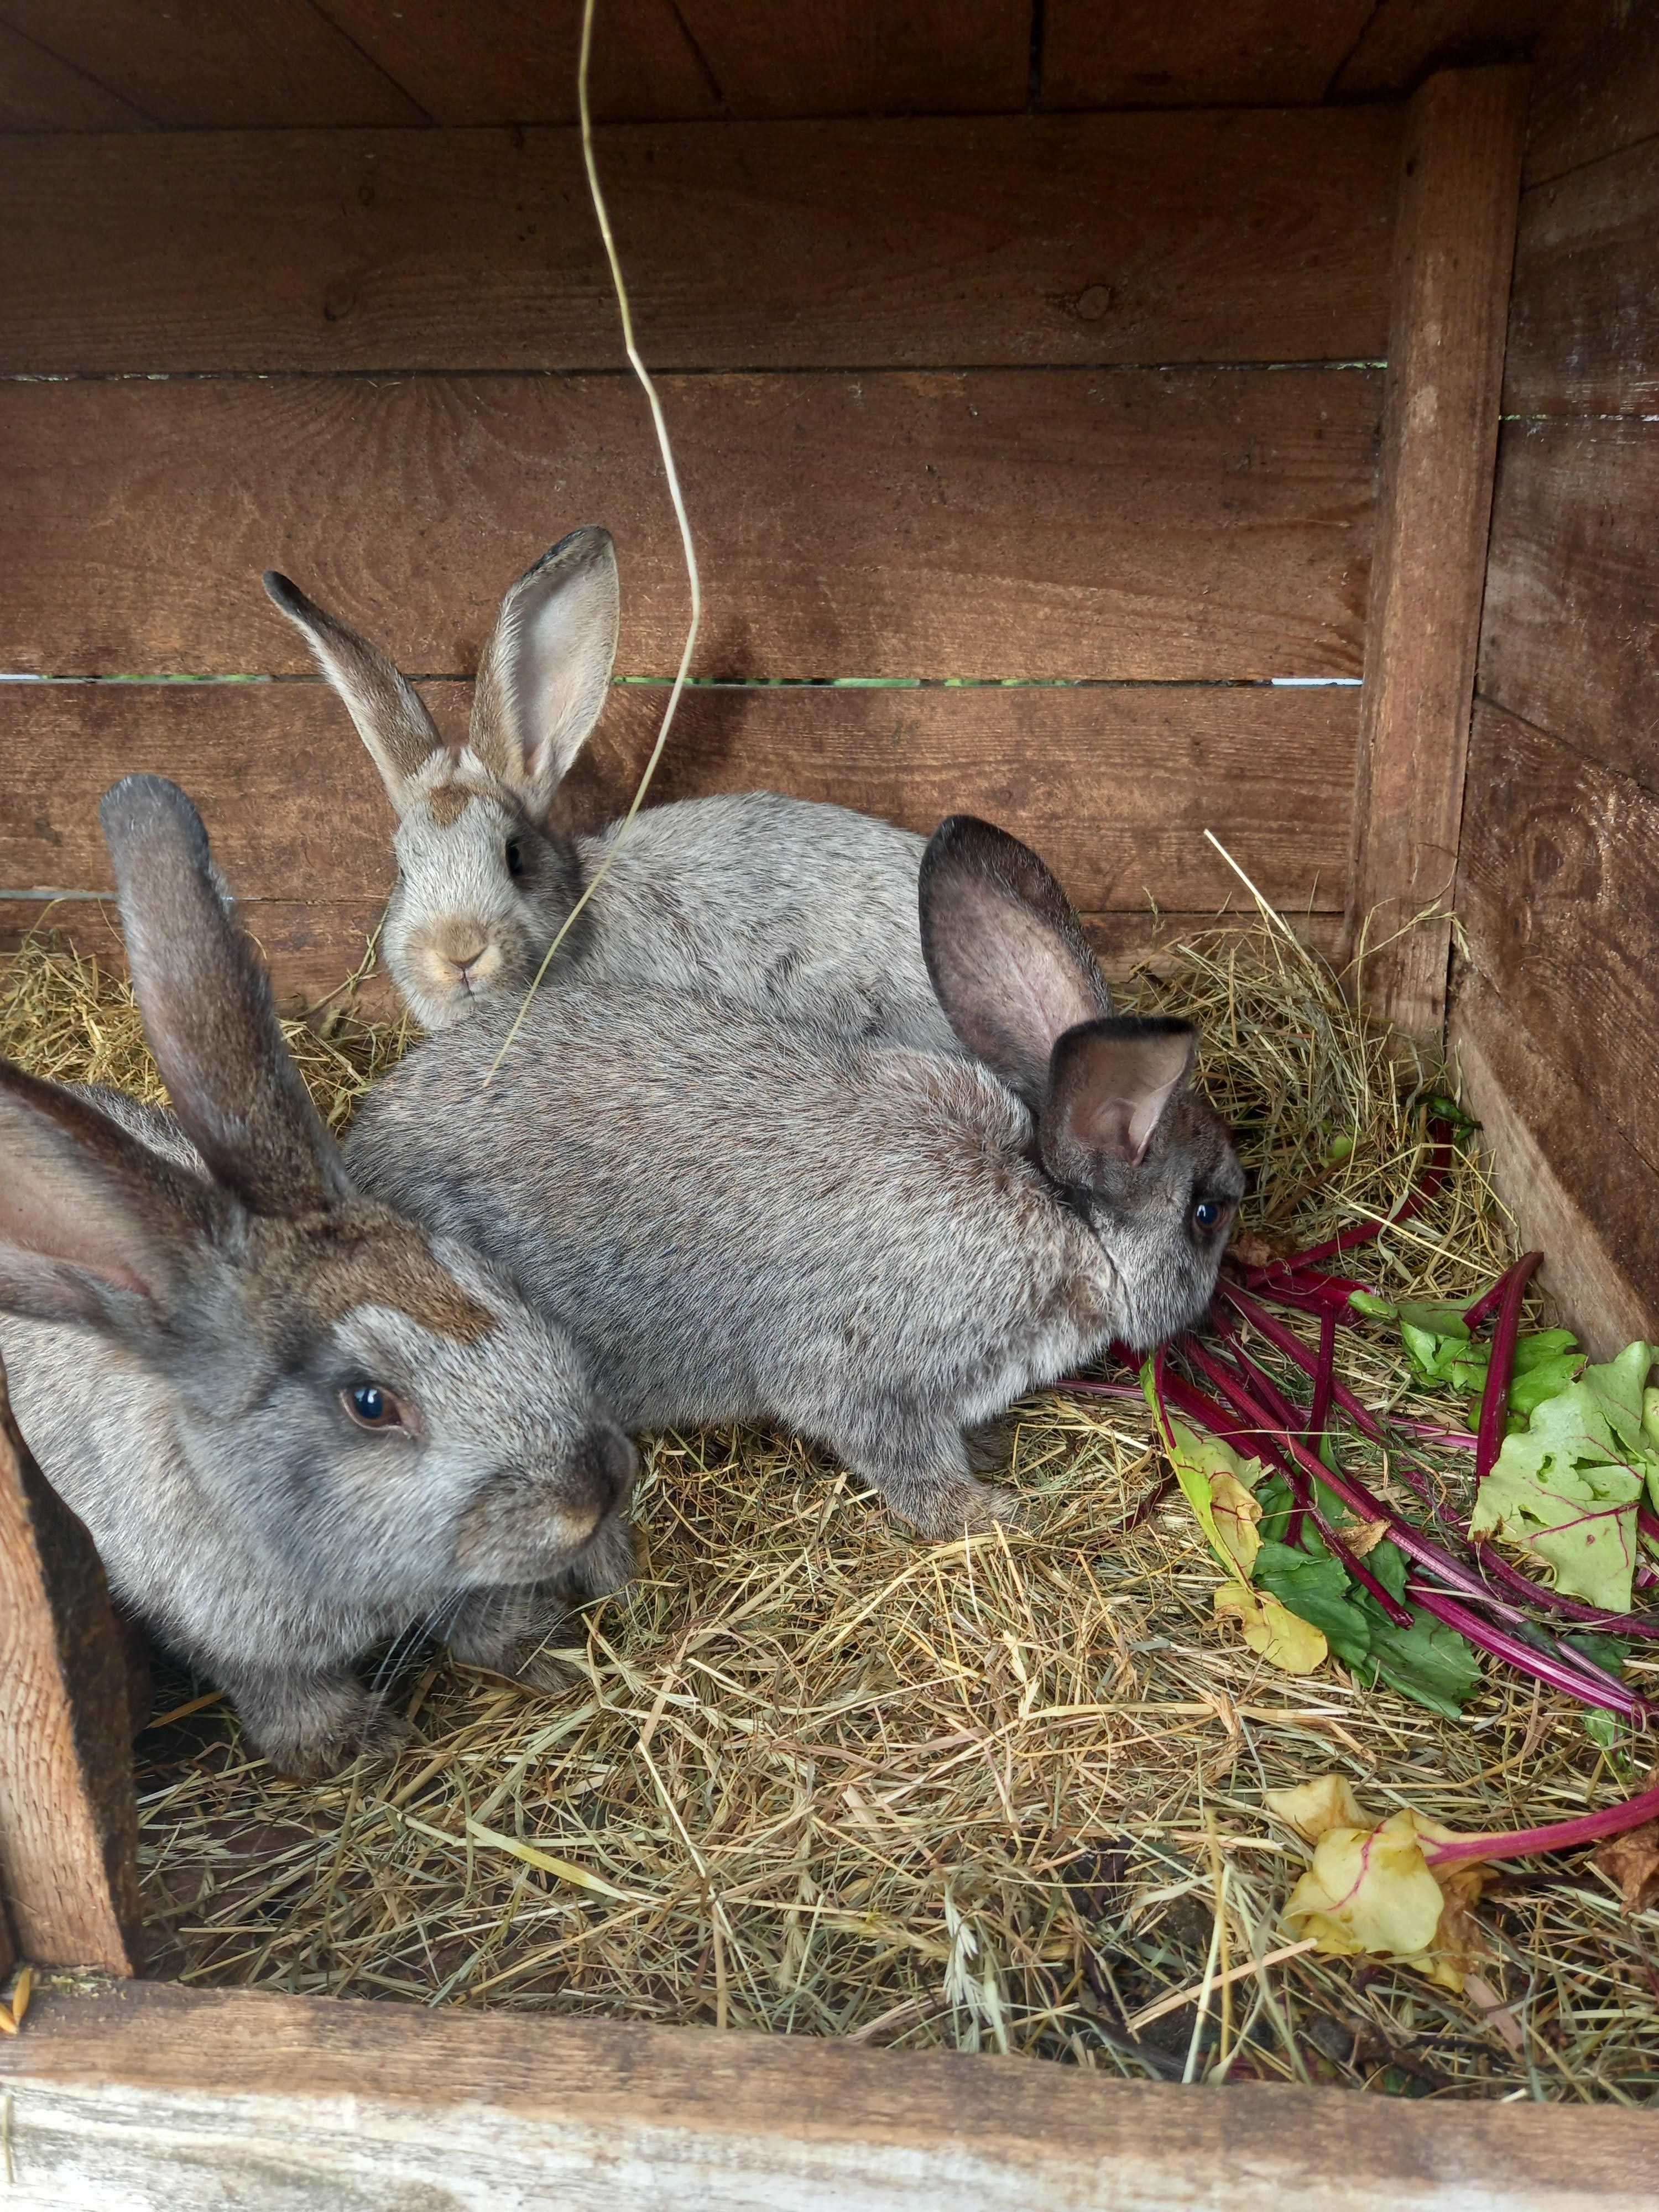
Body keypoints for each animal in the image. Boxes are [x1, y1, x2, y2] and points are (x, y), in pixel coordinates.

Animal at [0, 779, 637, 1778]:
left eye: (473, 1272)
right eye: (370, 1404)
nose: (596, 1486)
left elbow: (488, 1612)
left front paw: (546, 1654)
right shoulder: (226, 1632)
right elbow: (287, 1692)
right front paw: (358, 1746)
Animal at [347, 814, 1248, 1540]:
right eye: (1207, 1213)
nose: (1218, 1294)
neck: (1058, 1218)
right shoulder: (870, 1378)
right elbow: (905, 1462)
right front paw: (989, 1513)